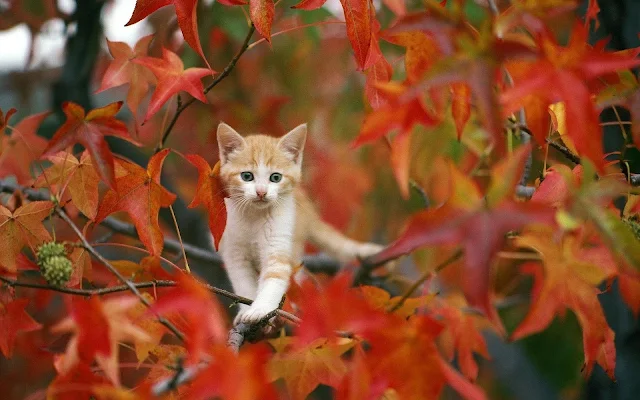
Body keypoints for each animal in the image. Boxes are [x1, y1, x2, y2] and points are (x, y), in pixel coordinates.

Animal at [215, 122, 384, 324]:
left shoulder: (279, 240)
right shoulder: (234, 252)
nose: (261, 192)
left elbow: (275, 278)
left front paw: (261, 309)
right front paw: (245, 311)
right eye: (247, 176)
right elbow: (243, 283)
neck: (254, 216)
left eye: (276, 178)